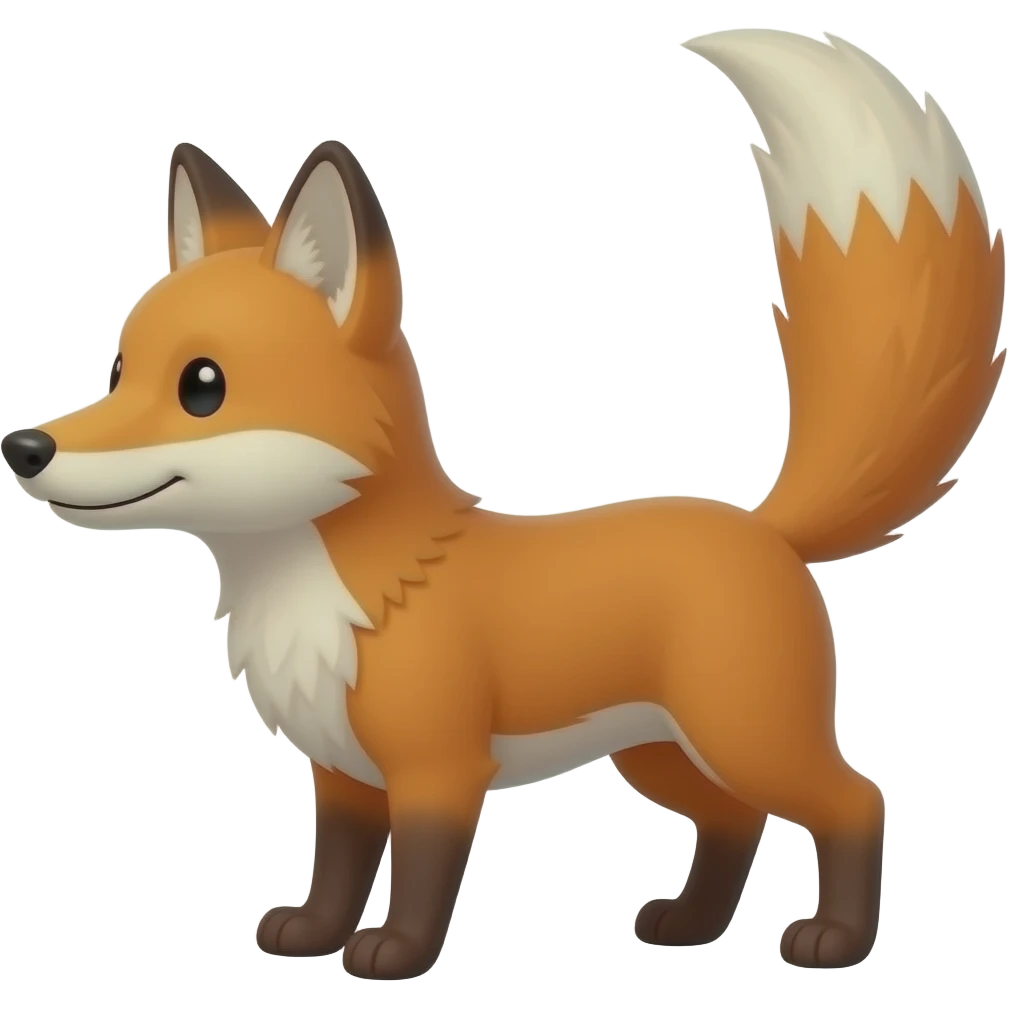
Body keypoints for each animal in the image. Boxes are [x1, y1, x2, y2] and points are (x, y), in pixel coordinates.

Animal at [2, 29, 1005, 979]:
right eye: (118, 370)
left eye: (201, 386)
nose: (25, 446)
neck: (331, 584)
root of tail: (760, 526)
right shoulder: (341, 772)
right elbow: (337, 868)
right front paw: (313, 935)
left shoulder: (438, 768)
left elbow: (419, 874)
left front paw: (394, 954)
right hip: (658, 752)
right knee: (733, 819)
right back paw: (690, 925)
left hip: (745, 732)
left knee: (854, 798)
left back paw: (834, 938)